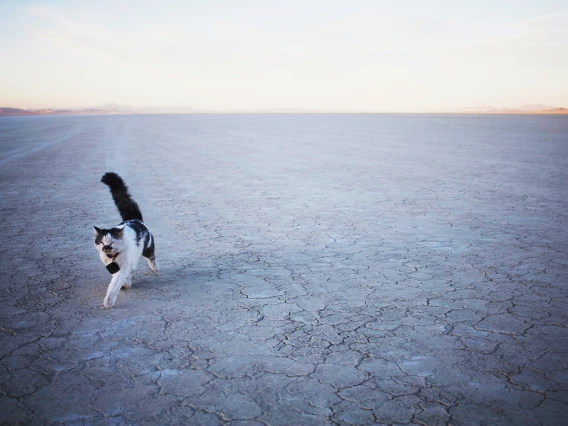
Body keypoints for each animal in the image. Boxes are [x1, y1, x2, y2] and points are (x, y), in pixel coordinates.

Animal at [94, 171, 159, 308]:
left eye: (112, 242)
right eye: (101, 242)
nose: (106, 247)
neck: (113, 258)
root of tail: (134, 219)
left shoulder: (123, 268)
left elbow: (115, 285)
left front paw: (109, 301)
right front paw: (125, 284)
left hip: (147, 247)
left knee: (151, 257)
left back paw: (155, 267)